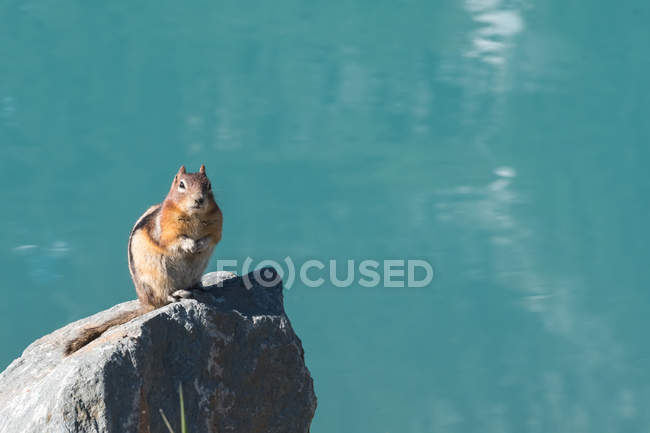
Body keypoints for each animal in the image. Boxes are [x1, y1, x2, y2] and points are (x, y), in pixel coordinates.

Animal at [64, 165, 220, 354]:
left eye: (209, 185)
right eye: (181, 185)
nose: (199, 200)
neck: (195, 216)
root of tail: (145, 303)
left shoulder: (216, 225)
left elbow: (211, 238)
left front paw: (201, 244)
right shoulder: (166, 230)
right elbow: (176, 240)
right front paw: (190, 244)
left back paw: (199, 286)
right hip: (158, 278)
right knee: (162, 298)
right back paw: (177, 293)